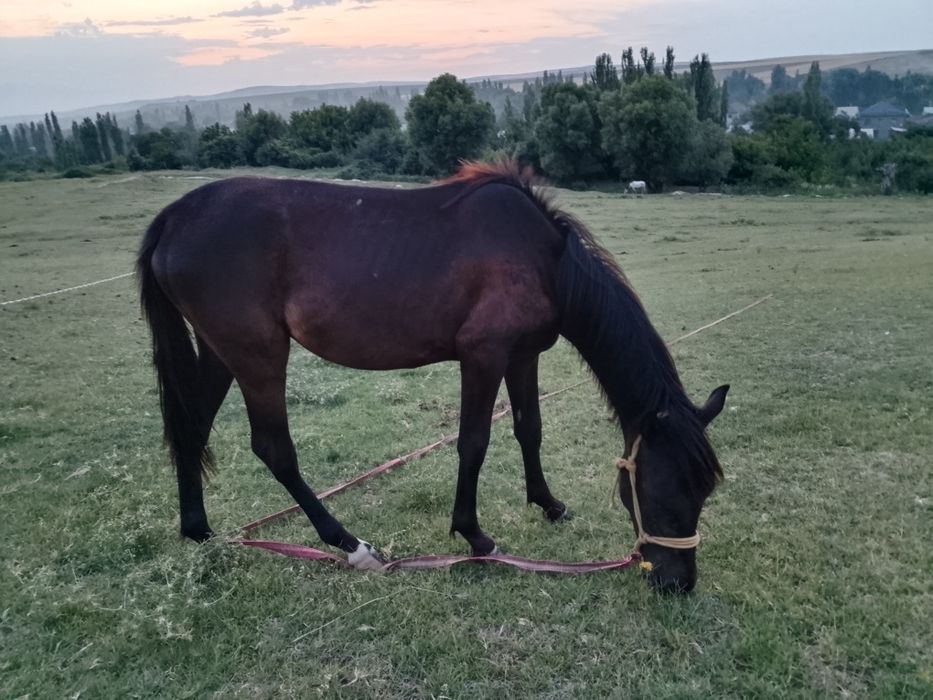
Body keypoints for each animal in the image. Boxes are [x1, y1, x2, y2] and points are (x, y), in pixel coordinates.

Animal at [137, 161, 728, 593]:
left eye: (703, 490)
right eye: (662, 487)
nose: (678, 584)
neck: (543, 258)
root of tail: (174, 217)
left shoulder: (522, 356)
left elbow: (529, 429)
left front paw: (549, 504)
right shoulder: (484, 356)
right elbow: (474, 441)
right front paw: (475, 537)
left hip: (221, 353)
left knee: (192, 428)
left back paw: (199, 531)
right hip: (258, 354)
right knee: (274, 450)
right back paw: (350, 545)